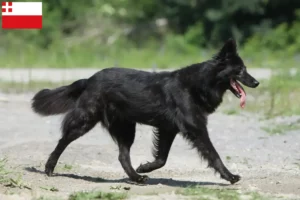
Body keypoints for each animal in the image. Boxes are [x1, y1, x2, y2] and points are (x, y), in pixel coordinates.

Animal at [31, 38, 258, 184]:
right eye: (240, 70)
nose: (257, 82)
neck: (199, 83)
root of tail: (89, 79)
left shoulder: (168, 130)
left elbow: (162, 158)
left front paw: (145, 167)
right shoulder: (196, 129)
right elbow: (213, 154)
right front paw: (230, 177)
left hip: (126, 128)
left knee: (123, 156)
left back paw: (137, 177)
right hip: (85, 120)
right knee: (63, 141)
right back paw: (49, 167)